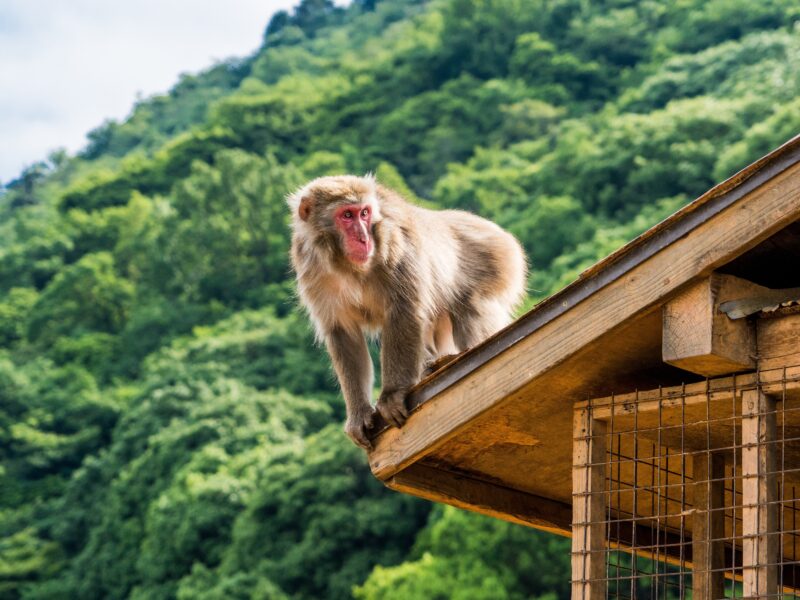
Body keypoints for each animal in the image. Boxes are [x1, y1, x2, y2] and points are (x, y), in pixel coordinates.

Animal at [288, 176, 524, 448]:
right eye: (347, 215)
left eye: (364, 213)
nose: (364, 238)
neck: (347, 265)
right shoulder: (312, 269)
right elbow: (343, 333)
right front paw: (358, 413)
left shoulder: (395, 245)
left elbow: (404, 311)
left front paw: (392, 395)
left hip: (498, 262)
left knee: (470, 307)